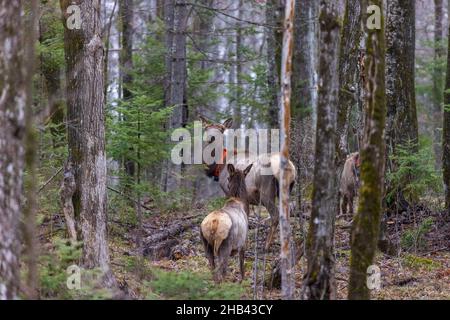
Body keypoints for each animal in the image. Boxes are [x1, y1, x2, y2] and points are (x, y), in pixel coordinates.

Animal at [200, 116, 298, 251]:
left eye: (221, 129)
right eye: (206, 128)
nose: (211, 138)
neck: (219, 166)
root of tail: (290, 168)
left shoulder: (229, 192)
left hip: (266, 193)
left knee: (275, 215)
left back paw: (267, 245)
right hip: (287, 190)